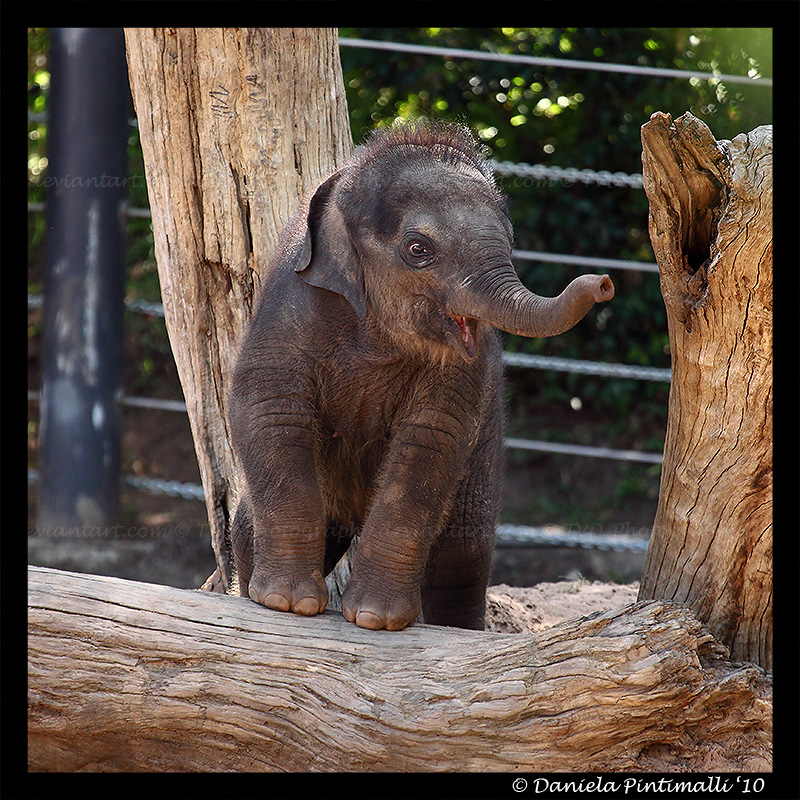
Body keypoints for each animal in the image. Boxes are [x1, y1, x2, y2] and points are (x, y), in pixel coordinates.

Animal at [228, 119, 616, 632]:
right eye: (419, 249)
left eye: (509, 243)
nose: (604, 283)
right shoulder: (289, 306)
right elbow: (269, 408)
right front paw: (286, 603)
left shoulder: (464, 370)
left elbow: (431, 439)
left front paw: (374, 619)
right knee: (244, 527)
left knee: (463, 555)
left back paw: (461, 632)